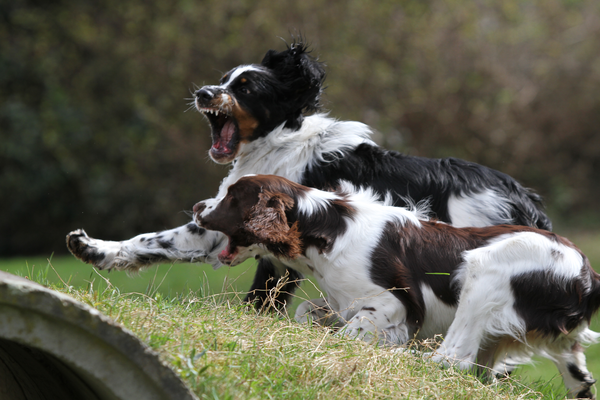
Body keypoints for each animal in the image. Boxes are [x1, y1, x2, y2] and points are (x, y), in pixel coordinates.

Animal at [68, 39, 552, 310]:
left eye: (246, 87)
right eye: (224, 78)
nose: (204, 92)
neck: (277, 144)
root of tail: (525, 200)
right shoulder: (229, 229)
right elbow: (152, 241)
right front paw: (94, 249)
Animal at [195, 176, 596, 400]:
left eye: (232, 197)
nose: (198, 205)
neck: (330, 229)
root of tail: (586, 273)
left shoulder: (392, 303)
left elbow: (352, 333)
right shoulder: (339, 299)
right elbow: (309, 311)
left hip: (483, 270)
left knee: (451, 358)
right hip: (560, 343)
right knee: (581, 381)